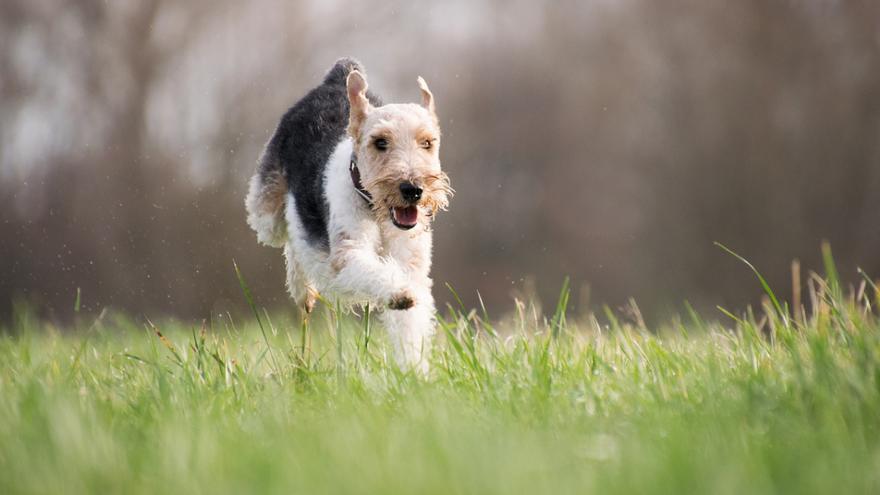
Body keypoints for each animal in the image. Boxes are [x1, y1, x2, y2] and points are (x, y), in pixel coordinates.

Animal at [248, 58, 454, 374]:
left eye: (428, 142)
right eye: (380, 142)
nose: (412, 189)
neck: (377, 212)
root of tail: (337, 77)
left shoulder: (412, 265)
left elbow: (410, 323)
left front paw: (414, 372)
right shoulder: (348, 253)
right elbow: (372, 271)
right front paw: (399, 294)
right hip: (266, 213)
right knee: (289, 236)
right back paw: (303, 290)